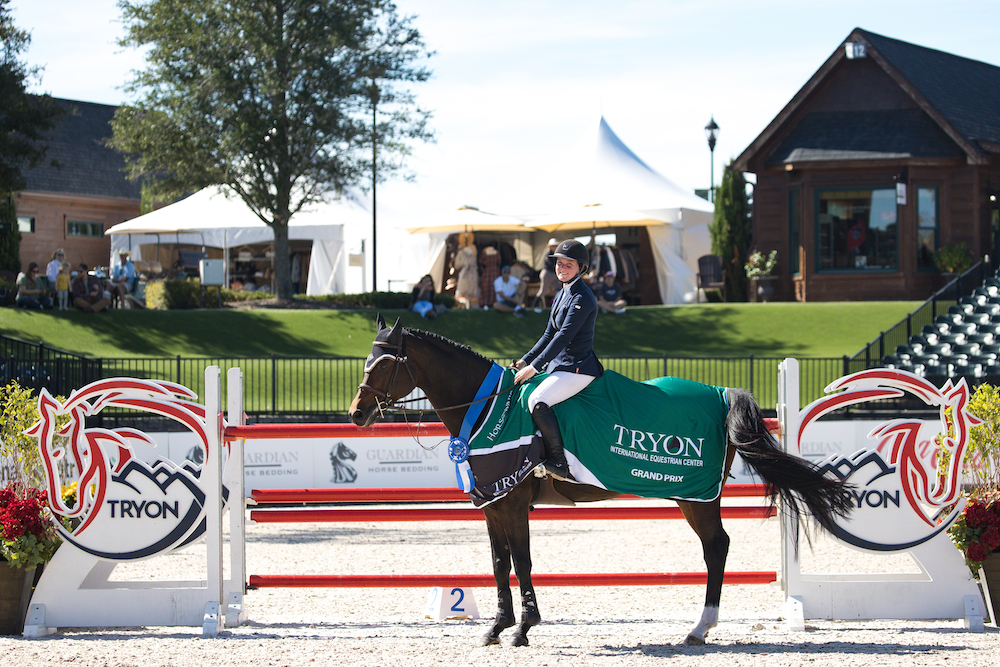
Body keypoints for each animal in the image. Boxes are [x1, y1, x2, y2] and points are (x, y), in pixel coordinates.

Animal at [348, 316, 853, 646]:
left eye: (384, 364)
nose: (356, 414)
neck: (487, 407)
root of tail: (721, 392)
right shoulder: (493, 503)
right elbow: (498, 564)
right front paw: (496, 627)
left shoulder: (512, 502)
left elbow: (522, 563)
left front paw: (523, 628)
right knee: (716, 546)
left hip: (696, 495)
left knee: (716, 546)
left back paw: (699, 628)